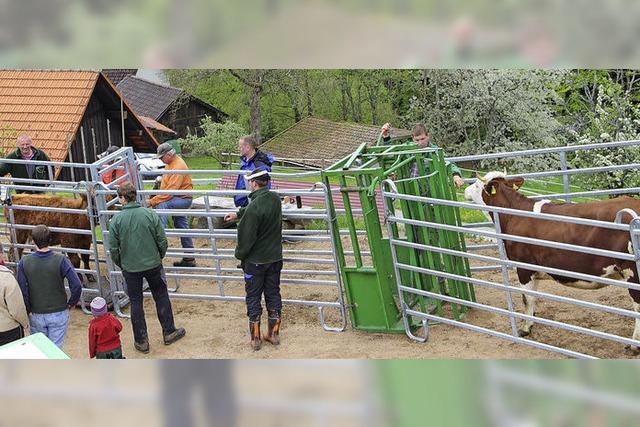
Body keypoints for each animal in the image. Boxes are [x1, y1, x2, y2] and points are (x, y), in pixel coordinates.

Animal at [464, 171, 640, 354]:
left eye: (476, 184)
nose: (464, 190)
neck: (514, 214)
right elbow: (533, 298)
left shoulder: (524, 267)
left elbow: (527, 298)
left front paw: (525, 329)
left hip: (632, 273)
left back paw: (633, 345)